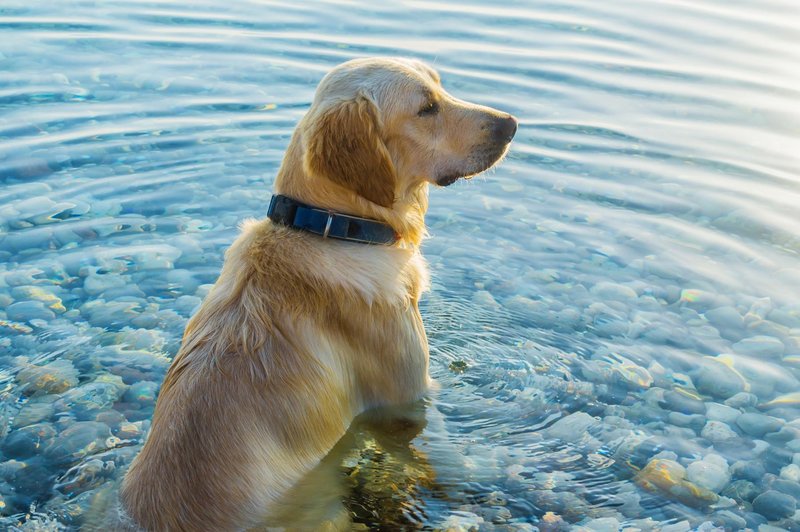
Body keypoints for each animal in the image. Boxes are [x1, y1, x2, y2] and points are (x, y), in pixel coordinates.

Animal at [120, 56, 520, 528]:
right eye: (426, 108)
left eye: (441, 86)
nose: (511, 124)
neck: (331, 228)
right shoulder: (407, 397)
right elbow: (437, 456)